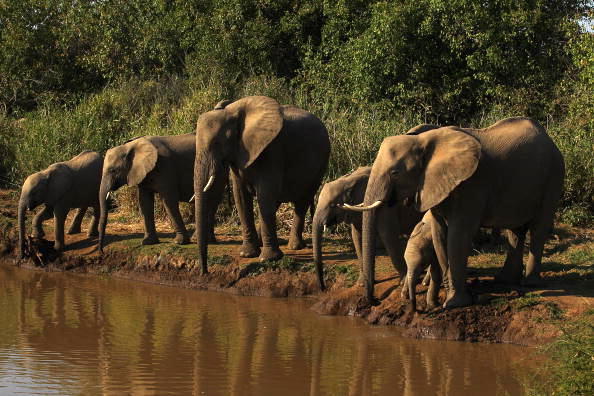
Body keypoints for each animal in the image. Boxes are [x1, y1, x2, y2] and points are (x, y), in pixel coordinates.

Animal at [193, 96, 328, 272]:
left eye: (217, 143)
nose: (204, 271)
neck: (232, 112)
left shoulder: (271, 150)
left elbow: (265, 195)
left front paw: (268, 259)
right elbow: (241, 197)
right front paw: (247, 254)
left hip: (320, 165)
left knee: (302, 199)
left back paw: (294, 247)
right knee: (277, 202)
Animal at [346, 117, 564, 310]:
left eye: (395, 173)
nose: (374, 302)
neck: (424, 140)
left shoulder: (471, 184)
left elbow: (458, 236)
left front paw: (454, 303)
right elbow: (439, 234)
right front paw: (450, 295)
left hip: (554, 175)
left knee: (539, 227)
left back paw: (531, 283)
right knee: (515, 230)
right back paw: (505, 280)